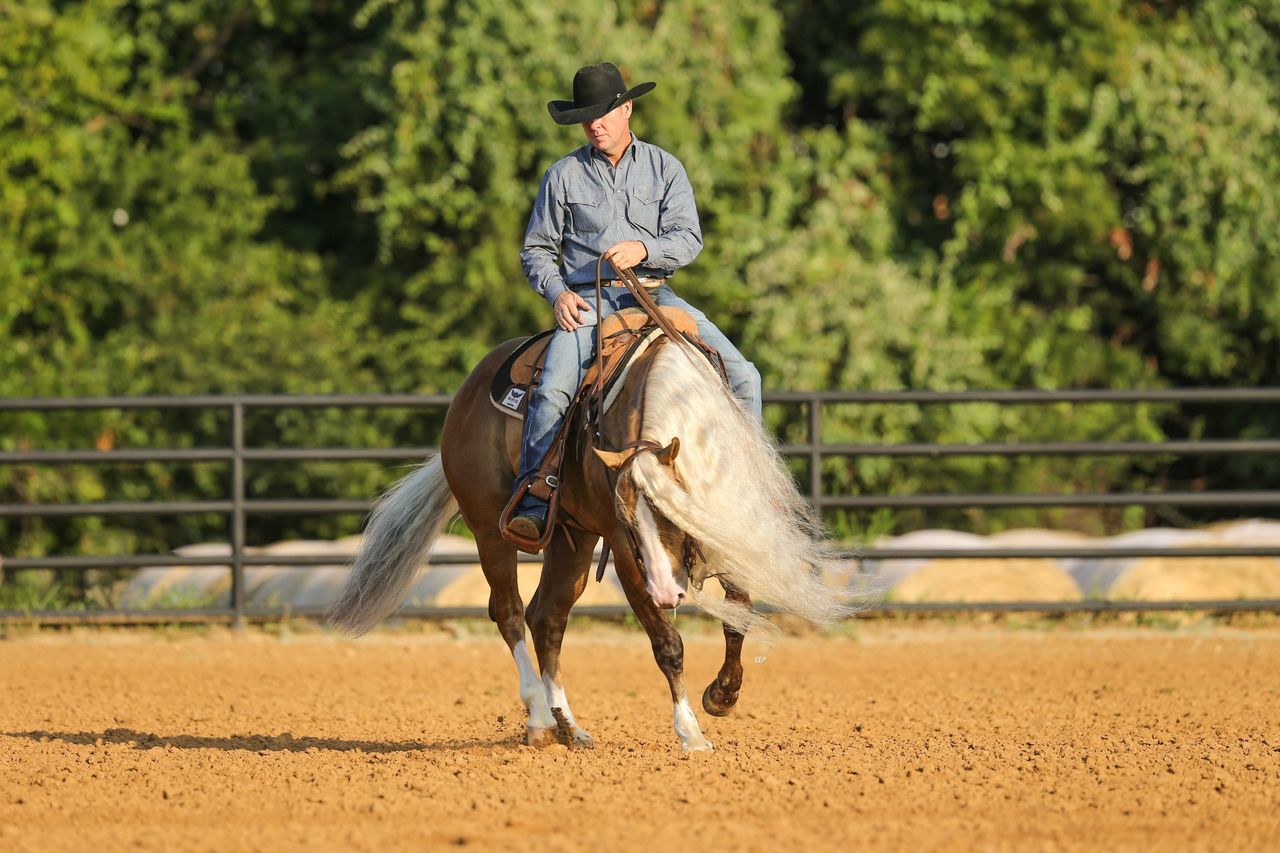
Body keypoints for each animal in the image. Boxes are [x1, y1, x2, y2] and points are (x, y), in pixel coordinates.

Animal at [330, 322, 849, 747]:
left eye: (669, 511)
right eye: (629, 520)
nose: (668, 593)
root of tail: (467, 392)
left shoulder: (725, 521)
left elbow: (738, 612)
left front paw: (722, 695)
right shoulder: (623, 550)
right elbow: (667, 643)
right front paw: (691, 732)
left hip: (572, 539)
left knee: (547, 617)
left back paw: (570, 726)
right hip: (489, 530)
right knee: (509, 612)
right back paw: (540, 720)